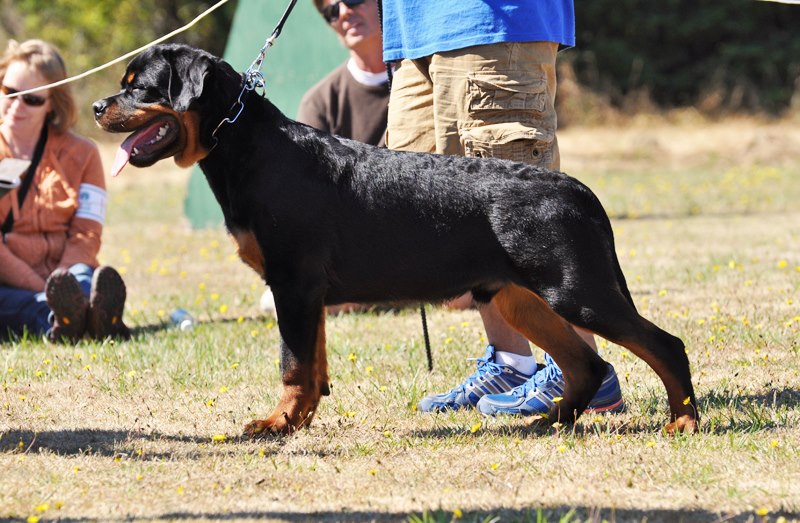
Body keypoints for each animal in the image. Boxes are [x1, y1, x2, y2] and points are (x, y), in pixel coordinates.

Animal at [92, 44, 692, 438]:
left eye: (139, 87)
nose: (98, 106)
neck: (246, 147)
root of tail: (579, 190)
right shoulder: (307, 294)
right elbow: (313, 364)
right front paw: (299, 420)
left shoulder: (292, 282)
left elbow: (292, 363)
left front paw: (275, 424)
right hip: (518, 298)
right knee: (585, 364)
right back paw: (550, 422)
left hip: (576, 291)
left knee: (664, 346)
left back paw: (682, 420)